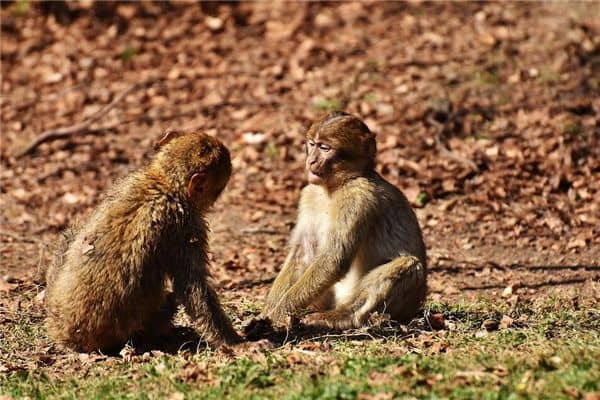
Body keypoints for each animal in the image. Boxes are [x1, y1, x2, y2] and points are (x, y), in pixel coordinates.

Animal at [262, 111, 426, 328]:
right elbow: (303, 253)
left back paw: (342, 317)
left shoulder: (358, 197)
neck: (335, 186)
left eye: (325, 147)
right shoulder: (309, 194)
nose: (311, 161)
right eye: (312, 144)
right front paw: (269, 311)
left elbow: (334, 259)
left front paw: (278, 314)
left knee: (409, 264)